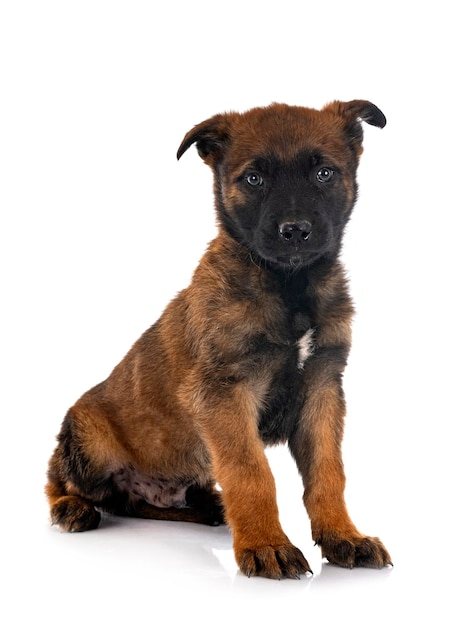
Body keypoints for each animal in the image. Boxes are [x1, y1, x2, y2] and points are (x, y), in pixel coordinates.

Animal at [46, 101, 392, 576]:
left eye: (324, 173)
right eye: (253, 179)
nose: (295, 230)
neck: (289, 286)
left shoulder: (322, 388)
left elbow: (327, 472)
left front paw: (343, 536)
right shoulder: (224, 393)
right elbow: (251, 472)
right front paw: (266, 544)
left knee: (136, 503)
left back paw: (209, 505)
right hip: (89, 439)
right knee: (58, 479)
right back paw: (71, 507)